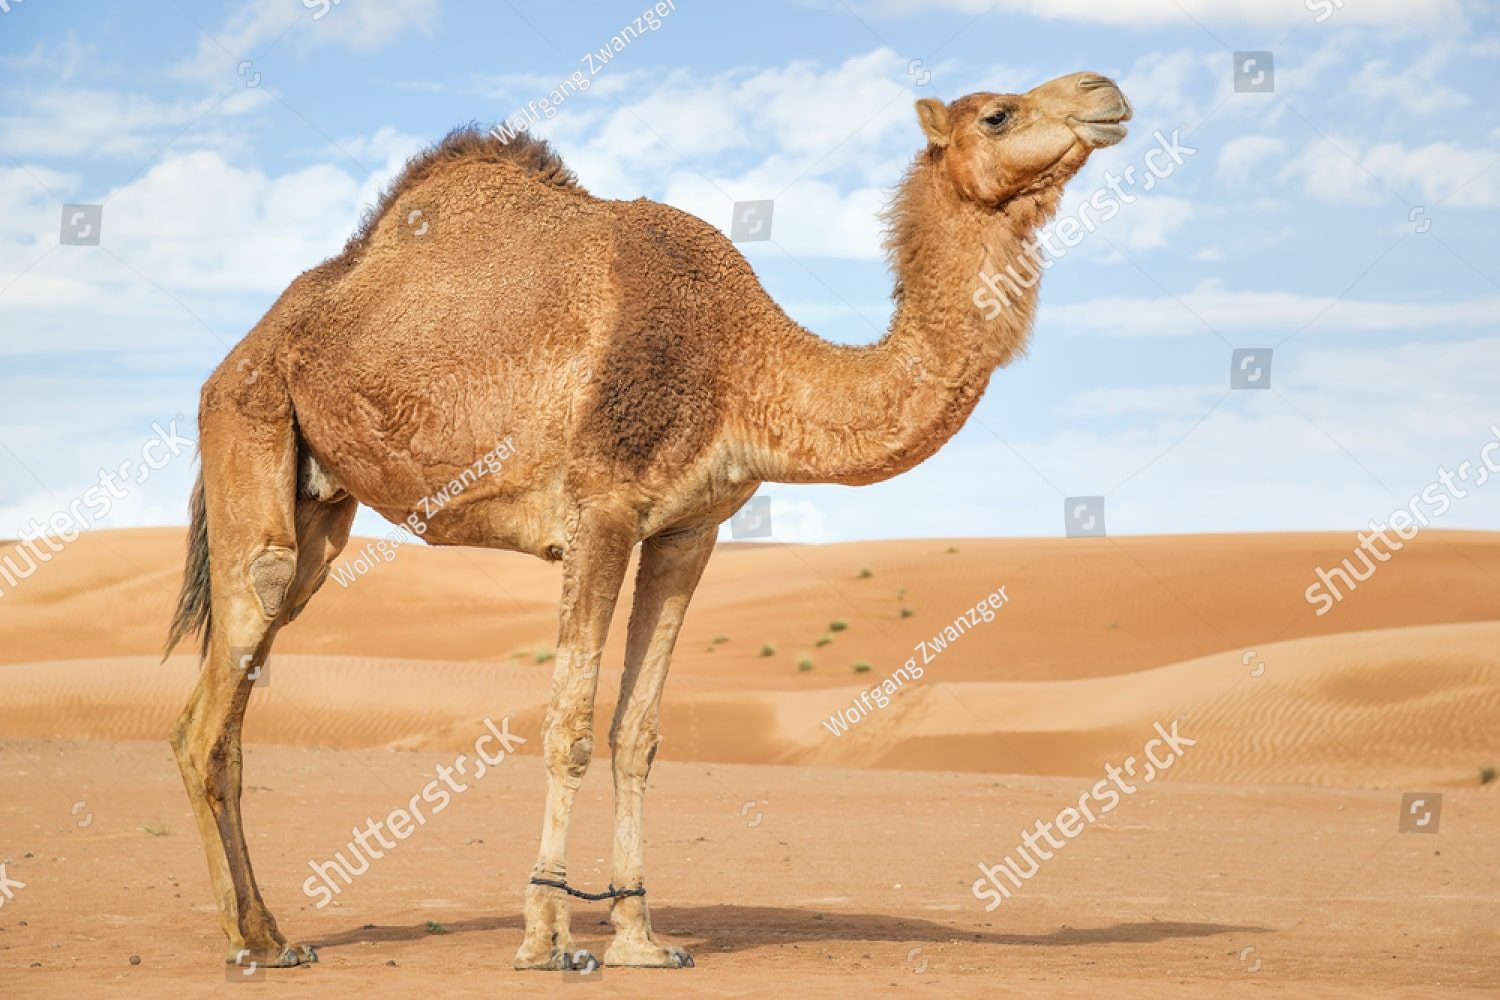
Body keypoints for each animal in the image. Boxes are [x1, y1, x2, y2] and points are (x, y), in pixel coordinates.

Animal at [164, 70, 1131, 972]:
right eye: (998, 114)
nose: (1106, 93)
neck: (741, 362)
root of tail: (237, 354)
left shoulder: (686, 529)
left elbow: (638, 735)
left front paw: (638, 934)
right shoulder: (599, 511)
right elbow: (568, 729)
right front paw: (547, 936)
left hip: (320, 502)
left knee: (230, 703)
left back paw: (267, 935)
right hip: (251, 423)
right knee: (227, 671)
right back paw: (254, 941)